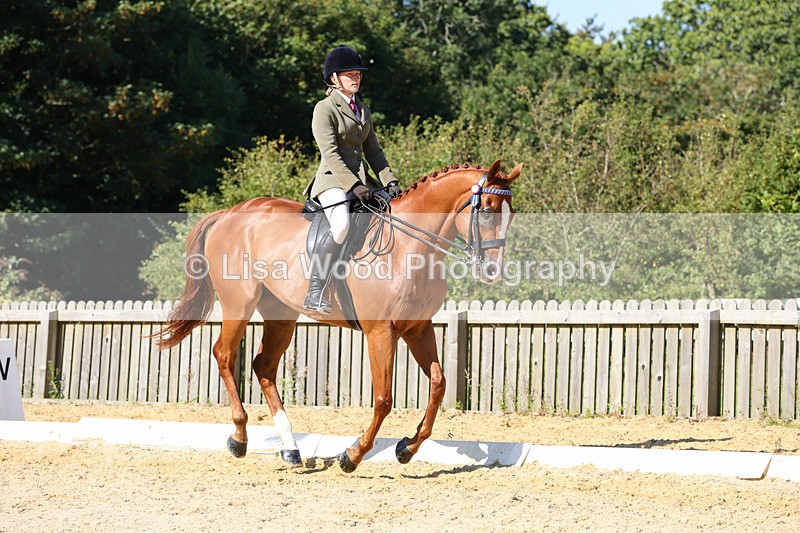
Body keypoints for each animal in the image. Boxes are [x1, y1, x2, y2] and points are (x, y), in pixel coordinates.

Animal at [153, 159, 523, 472]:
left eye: (511, 214)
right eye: (487, 211)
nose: (492, 272)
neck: (410, 247)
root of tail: (230, 213)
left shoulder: (418, 327)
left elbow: (438, 385)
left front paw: (406, 448)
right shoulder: (381, 331)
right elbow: (384, 398)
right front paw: (353, 455)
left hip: (281, 313)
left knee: (264, 366)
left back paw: (291, 449)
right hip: (238, 303)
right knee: (226, 355)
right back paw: (239, 438)